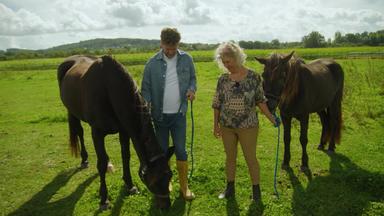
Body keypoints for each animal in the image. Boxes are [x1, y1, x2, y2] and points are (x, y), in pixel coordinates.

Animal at [57, 54, 172, 210]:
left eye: (170, 175)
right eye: (154, 182)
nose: (166, 206)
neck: (109, 88)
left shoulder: (124, 131)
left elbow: (125, 156)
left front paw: (130, 185)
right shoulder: (97, 133)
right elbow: (101, 163)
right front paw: (104, 199)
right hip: (72, 112)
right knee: (79, 132)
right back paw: (84, 159)